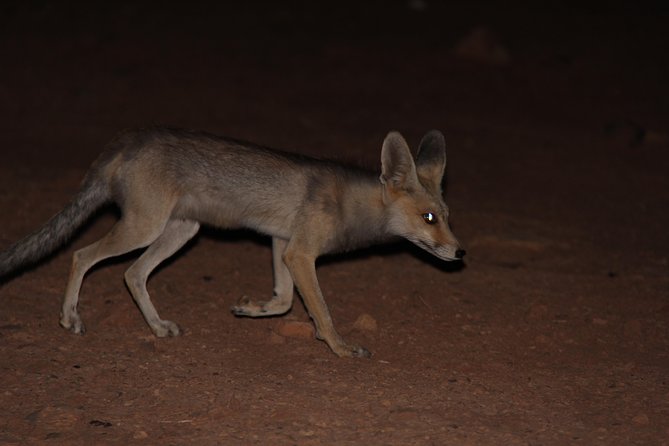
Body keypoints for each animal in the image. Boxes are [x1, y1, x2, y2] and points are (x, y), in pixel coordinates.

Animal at [0, 127, 464, 358]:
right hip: (144, 229)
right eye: (429, 218)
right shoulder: (300, 252)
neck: (351, 205)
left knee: (132, 274)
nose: (460, 252)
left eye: (447, 216)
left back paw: (157, 327)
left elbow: (283, 302)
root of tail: (127, 140)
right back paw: (70, 318)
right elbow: (323, 312)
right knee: (81, 255)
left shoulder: (282, 242)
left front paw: (252, 309)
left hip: (180, 231)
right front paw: (339, 347)